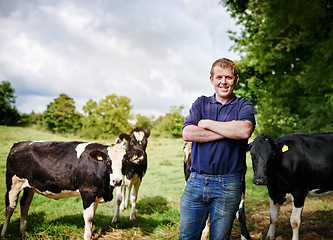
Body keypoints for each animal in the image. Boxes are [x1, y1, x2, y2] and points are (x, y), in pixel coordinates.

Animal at [0, 140, 143, 239]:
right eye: (108, 161)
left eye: (125, 161)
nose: (117, 181)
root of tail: (19, 144)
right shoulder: (87, 191)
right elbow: (89, 217)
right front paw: (87, 237)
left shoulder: (96, 194)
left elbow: (93, 214)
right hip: (13, 183)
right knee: (10, 207)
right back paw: (4, 233)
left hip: (30, 186)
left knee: (24, 205)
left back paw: (23, 231)